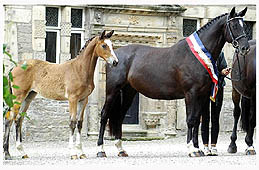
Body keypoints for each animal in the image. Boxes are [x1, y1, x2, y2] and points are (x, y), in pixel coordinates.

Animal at [3, 30, 119, 159]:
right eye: (104, 45)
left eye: (112, 45)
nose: (115, 62)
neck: (80, 69)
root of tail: (14, 67)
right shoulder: (72, 99)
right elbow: (72, 122)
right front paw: (73, 153)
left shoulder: (83, 100)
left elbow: (79, 123)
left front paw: (81, 153)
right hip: (18, 97)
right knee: (9, 119)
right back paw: (7, 153)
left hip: (28, 97)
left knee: (19, 119)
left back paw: (22, 152)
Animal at [97, 7, 250, 157]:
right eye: (234, 26)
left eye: (245, 26)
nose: (245, 48)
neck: (197, 55)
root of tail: (114, 58)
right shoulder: (191, 94)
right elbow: (191, 120)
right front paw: (191, 149)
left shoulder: (202, 95)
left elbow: (196, 121)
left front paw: (197, 149)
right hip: (112, 91)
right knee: (104, 115)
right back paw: (101, 150)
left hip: (128, 92)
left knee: (119, 117)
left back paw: (121, 149)